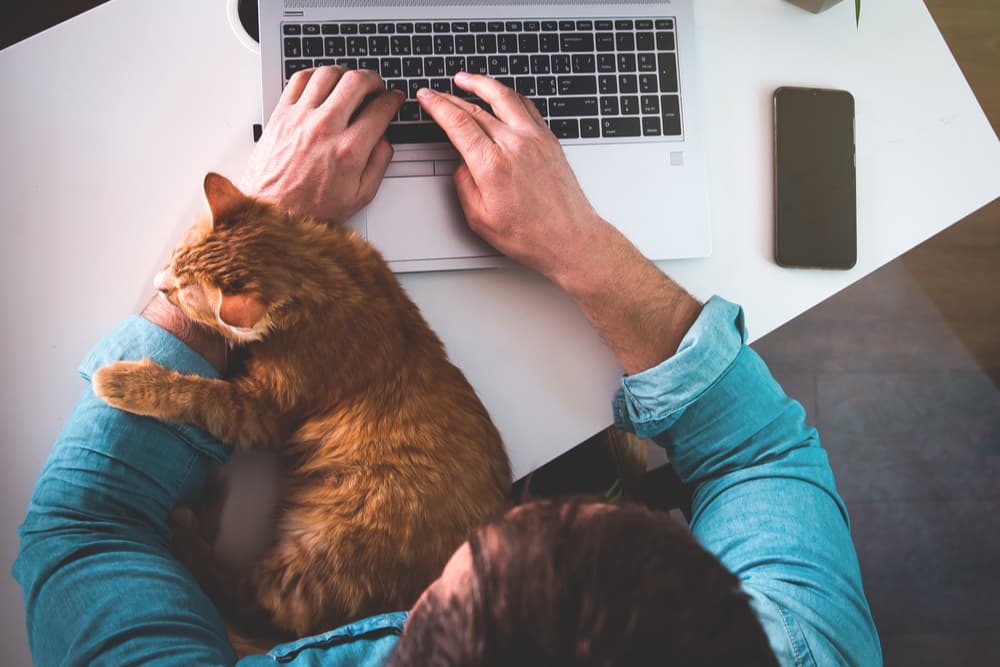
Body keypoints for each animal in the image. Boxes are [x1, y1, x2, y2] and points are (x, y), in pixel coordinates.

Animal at [91, 172, 512, 652]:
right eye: (175, 256)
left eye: (181, 294)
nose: (159, 283)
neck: (323, 272)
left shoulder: (261, 412)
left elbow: (193, 394)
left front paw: (125, 382)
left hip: (316, 559)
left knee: (244, 605)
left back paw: (186, 529)